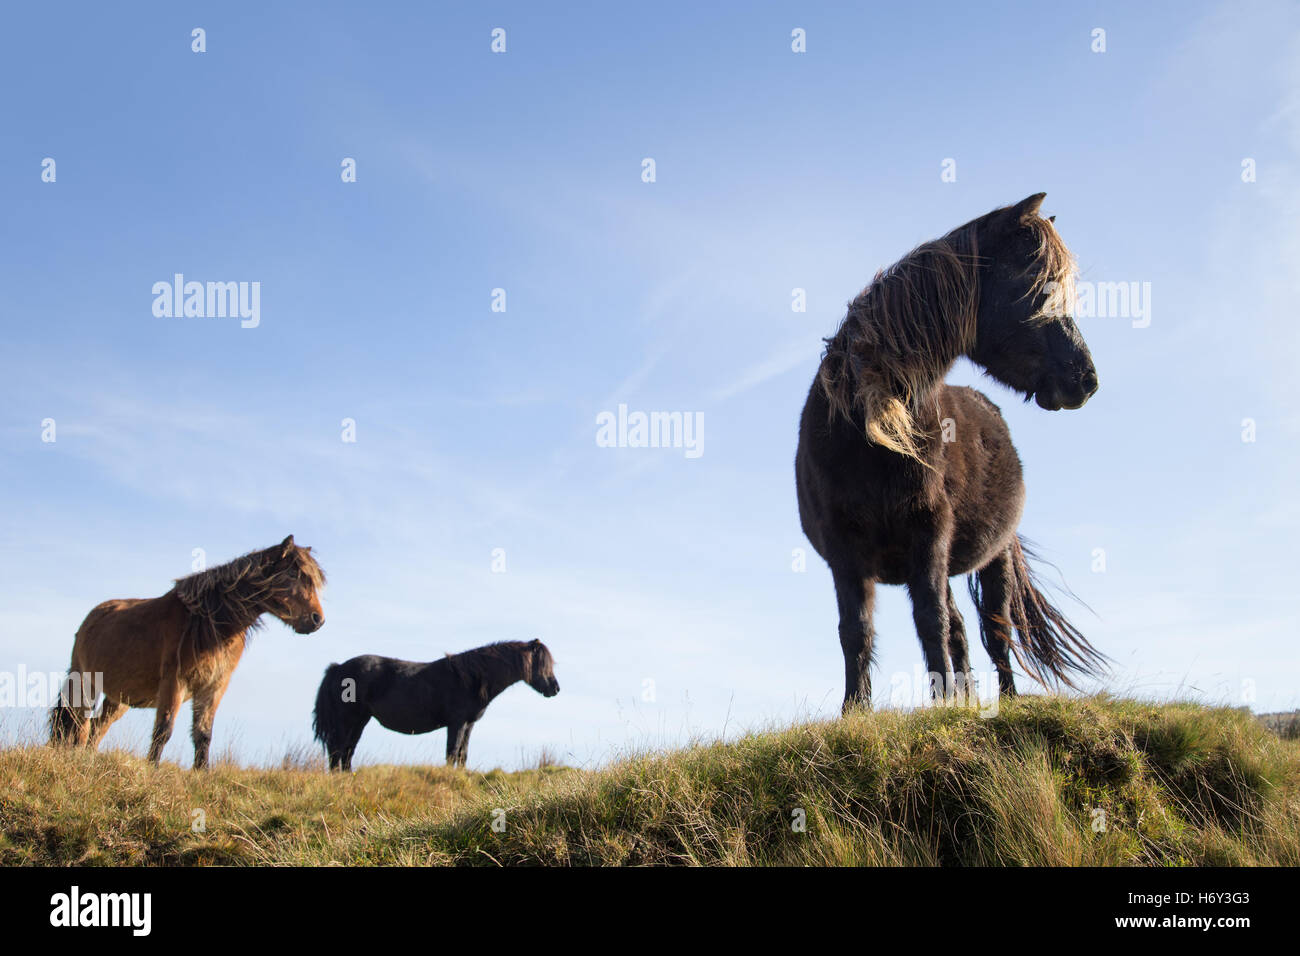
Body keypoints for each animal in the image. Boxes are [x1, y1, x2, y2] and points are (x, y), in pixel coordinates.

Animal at [50, 538, 325, 770]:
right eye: (294, 574)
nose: (317, 620)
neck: (207, 622)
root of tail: (93, 617)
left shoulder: (214, 686)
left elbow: (203, 733)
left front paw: (201, 772)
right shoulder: (175, 681)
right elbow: (164, 729)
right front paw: (152, 769)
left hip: (119, 698)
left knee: (97, 726)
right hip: (85, 684)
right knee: (80, 724)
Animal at [315, 639, 564, 775]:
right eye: (542, 665)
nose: (555, 689)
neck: (471, 678)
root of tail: (338, 668)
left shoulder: (469, 724)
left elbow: (463, 753)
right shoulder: (456, 723)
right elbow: (452, 752)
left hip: (359, 721)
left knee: (347, 750)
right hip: (347, 720)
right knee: (338, 750)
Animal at [790, 192, 1107, 712]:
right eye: (1039, 290)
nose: (1087, 380)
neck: (867, 433)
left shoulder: (930, 536)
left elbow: (931, 621)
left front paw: (942, 708)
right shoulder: (845, 550)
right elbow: (856, 630)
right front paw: (855, 711)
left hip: (992, 557)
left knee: (995, 630)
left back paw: (1004, 701)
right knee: (961, 627)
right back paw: (968, 698)